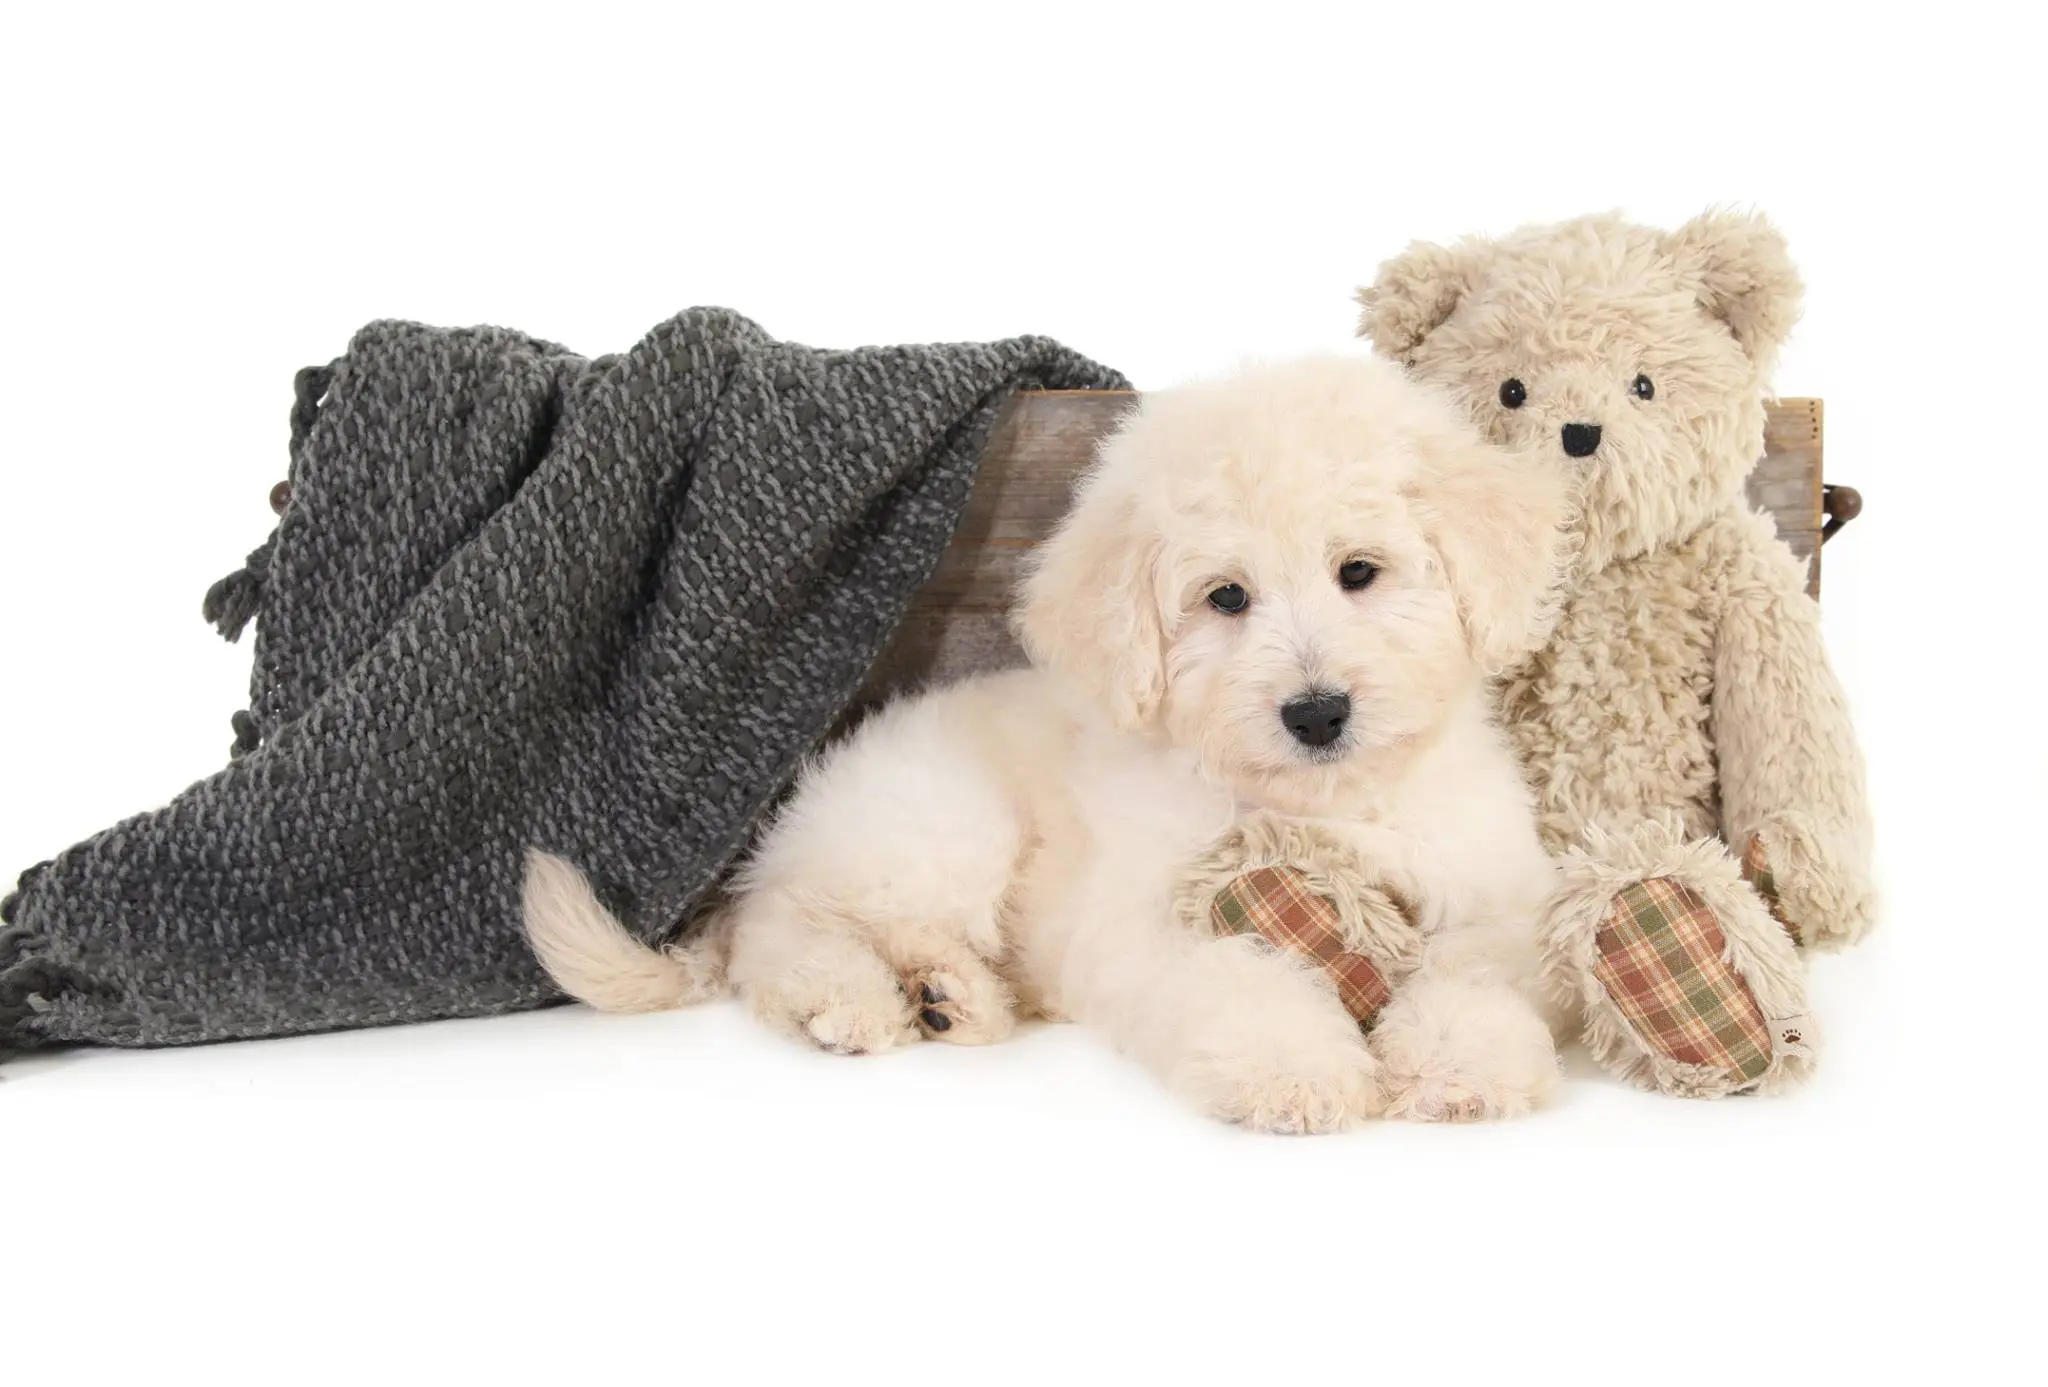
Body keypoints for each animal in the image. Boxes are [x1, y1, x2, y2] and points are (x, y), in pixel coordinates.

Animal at [524, 352, 1564, 1130]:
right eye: (1226, 596)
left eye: (1360, 572)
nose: (1315, 713)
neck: (1319, 804)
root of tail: (792, 824)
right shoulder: (1147, 924)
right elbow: (1240, 975)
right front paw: (1295, 1068)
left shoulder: (1495, 896)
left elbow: (1479, 968)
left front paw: (1467, 1060)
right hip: (942, 823)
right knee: (787, 931)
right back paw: (859, 998)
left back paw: (953, 993)